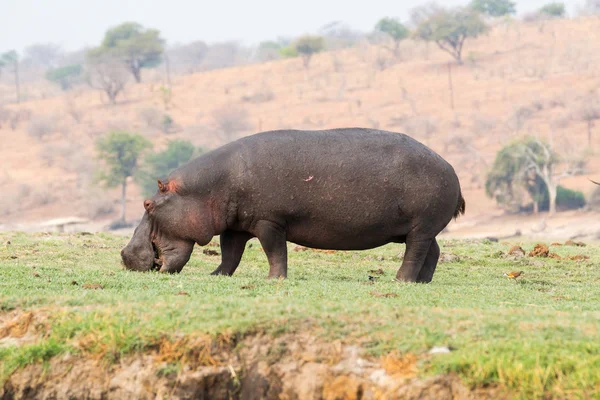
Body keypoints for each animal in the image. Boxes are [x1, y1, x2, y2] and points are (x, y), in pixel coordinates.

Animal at [120, 127, 464, 282]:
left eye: (147, 204)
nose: (124, 255)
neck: (205, 189)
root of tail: (450, 167)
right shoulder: (235, 225)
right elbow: (230, 254)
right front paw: (216, 275)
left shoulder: (269, 222)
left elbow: (275, 251)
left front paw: (275, 280)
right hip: (421, 228)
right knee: (432, 251)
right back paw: (422, 282)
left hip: (420, 227)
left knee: (416, 252)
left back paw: (401, 280)